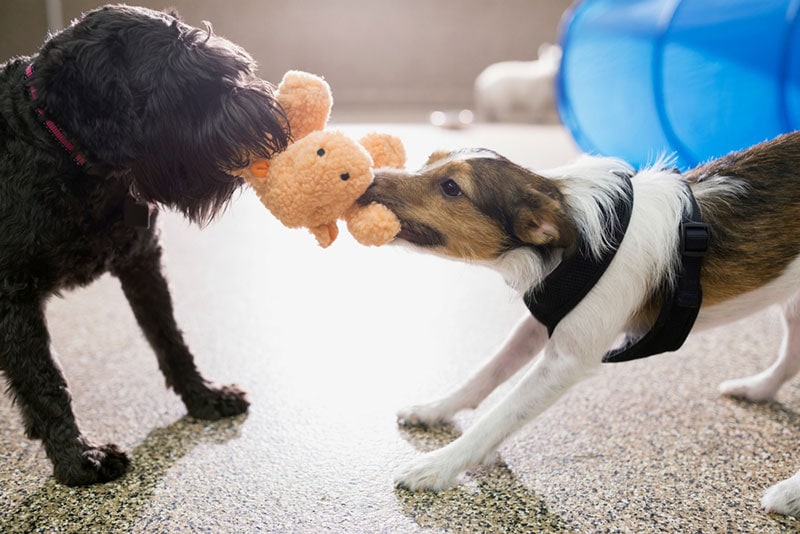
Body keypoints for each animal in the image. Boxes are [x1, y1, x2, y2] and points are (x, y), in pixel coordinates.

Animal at [0, 4, 288, 488]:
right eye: (185, 88)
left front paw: (203, 397)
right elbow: (45, 380)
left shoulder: (141, 261)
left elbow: (170, 337)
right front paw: (79, 458)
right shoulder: (13, 297)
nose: (268, 112)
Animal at [360, 132, 800, 516]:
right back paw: (756, 389)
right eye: (429, 161)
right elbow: (485, 373)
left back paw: (789, 494)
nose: (368, 177)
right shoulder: (542, 321)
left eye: (451, 188)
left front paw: (438, 465)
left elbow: (499, 416)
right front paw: (435, 409)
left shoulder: (567, 362)